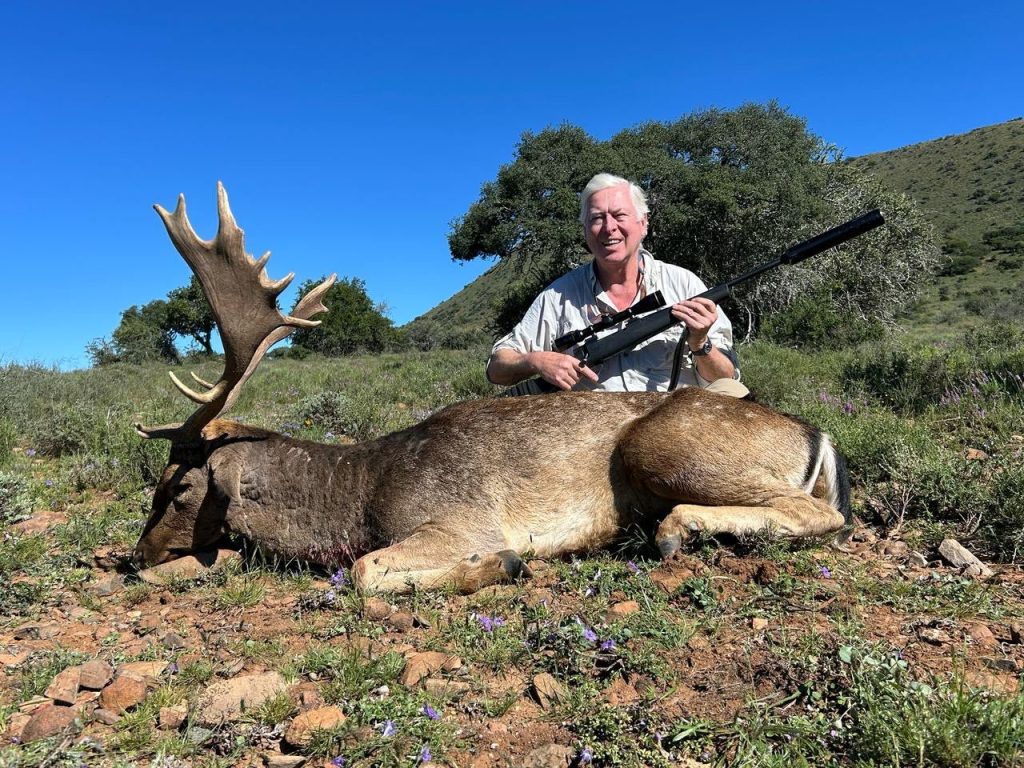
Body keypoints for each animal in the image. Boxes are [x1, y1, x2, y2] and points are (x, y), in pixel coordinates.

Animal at [133, 184, 851, 593]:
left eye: (178, 487)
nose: (135, 557)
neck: (360, 495)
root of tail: (815, 436)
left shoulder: (458, 520)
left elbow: (363, 572)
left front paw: (505, 564)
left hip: (664, 445)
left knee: (823, 515)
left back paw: (678, 530)